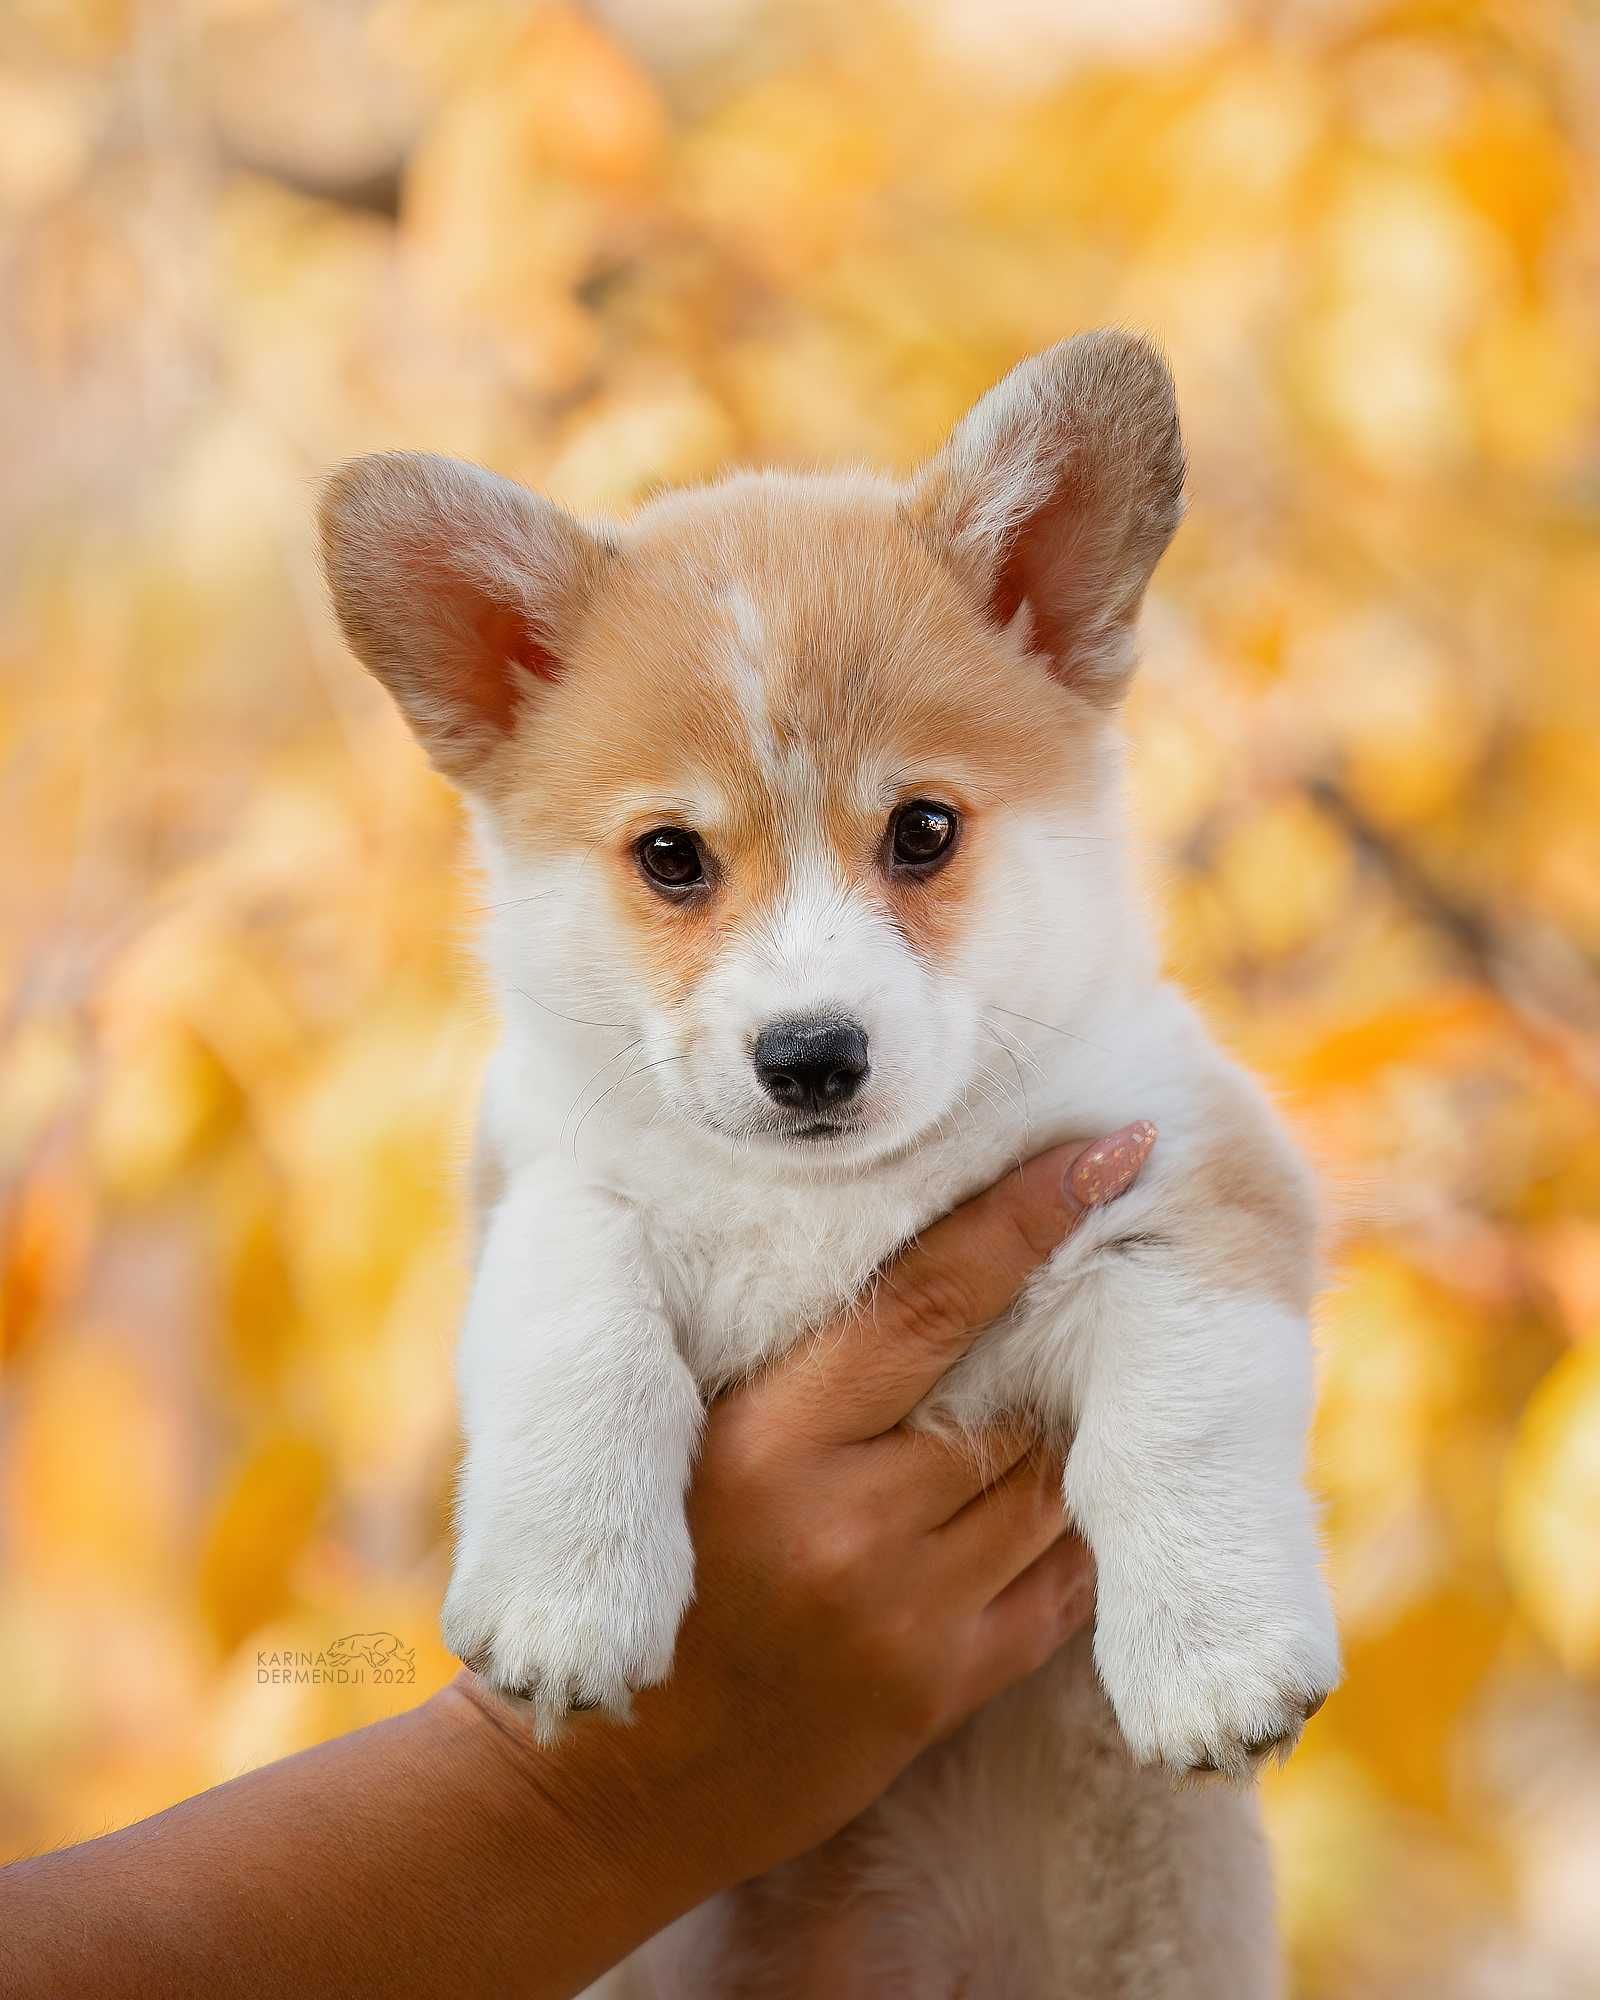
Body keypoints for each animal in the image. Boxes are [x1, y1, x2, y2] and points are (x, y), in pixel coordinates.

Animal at [322, 336, 1336, 1992]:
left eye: (921, 830)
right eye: (671, 857)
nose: (810, 1056)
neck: (828, 1203)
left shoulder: (1180, 1176)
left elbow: (1175, 1418)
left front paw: (1215, 1655)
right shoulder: (540, 1183)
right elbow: (580, 1323)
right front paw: (566, 1590)